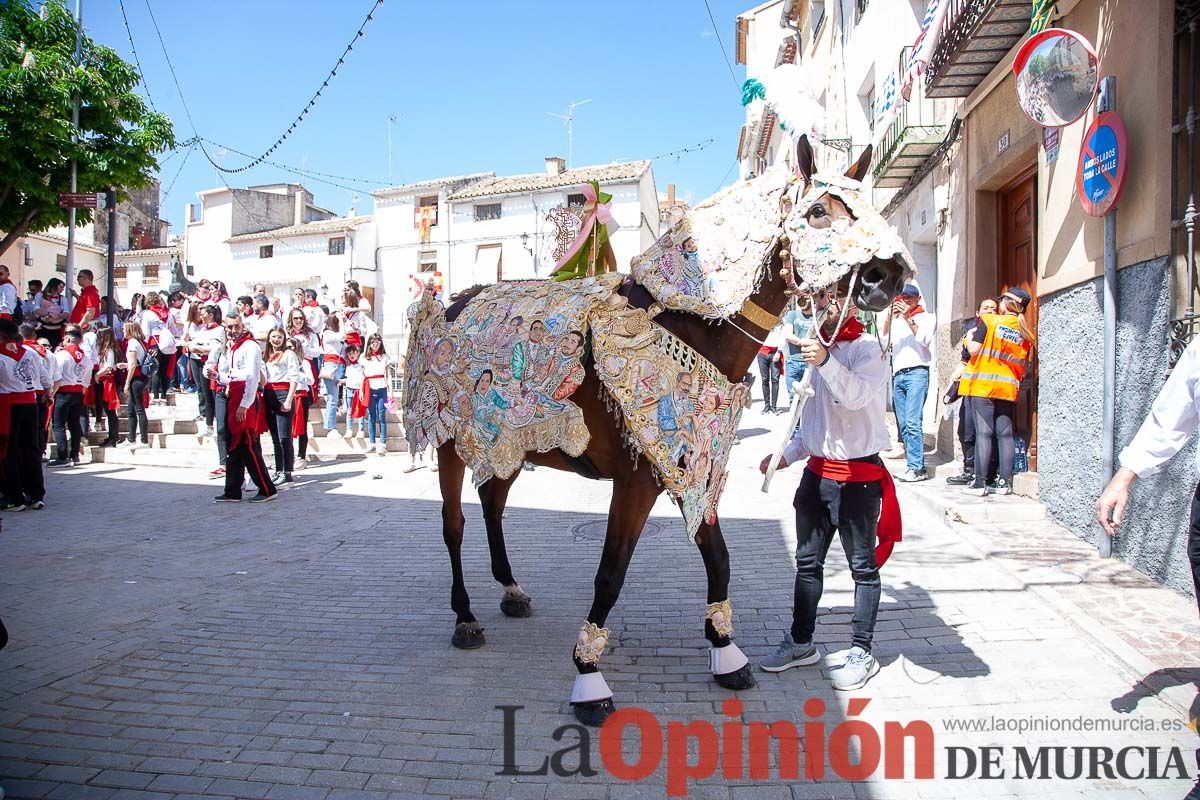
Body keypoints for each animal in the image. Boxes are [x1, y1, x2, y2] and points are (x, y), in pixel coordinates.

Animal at [403, 137, 907, 724]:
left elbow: (718, 559)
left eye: (870, 206)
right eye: (818, 212)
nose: (888, 276)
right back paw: (465, 617)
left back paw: (510, 589)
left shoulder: (692, 468)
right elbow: (611, 572)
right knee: (454, 523)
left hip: (509, 442)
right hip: (449, 442)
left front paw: (725, 650)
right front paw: (588, 675)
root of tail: (449, 303)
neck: (686, 325)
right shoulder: (637, 480)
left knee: (492, 505)